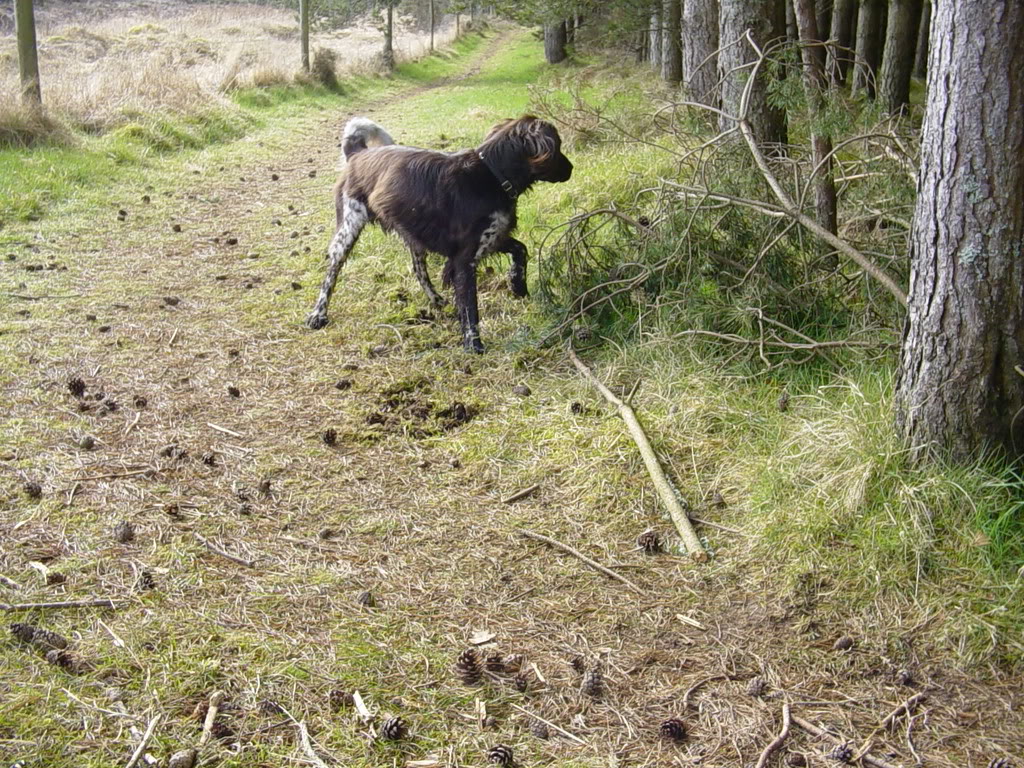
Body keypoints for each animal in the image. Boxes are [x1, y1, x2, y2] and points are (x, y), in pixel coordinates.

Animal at [307, 115, 573, 354]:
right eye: (558, 145)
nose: (571, 168)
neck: (492, 175)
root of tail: (357, 154)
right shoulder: (465, 258)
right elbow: (470, 308)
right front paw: (473, 345)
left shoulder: (490, 239)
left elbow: (521, 249)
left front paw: (518, 285)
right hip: (348, 229)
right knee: (331, 273)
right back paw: (318, 314)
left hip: (413, 235)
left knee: (418, 270)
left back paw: (435, 300)